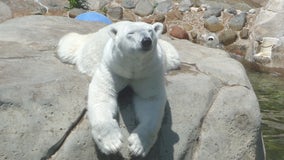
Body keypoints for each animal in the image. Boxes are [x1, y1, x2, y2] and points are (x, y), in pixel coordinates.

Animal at [57, 20, 180, 157]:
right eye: (131, 33)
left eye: (150, 31)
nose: (146, 41)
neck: (132, 67)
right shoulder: (112, 66)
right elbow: (103, 93)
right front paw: (111, 143)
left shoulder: (149, 72)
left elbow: (150, 100)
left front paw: (138, 146)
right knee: (68, 45)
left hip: (168, 55)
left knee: (173, 56)